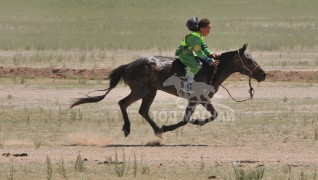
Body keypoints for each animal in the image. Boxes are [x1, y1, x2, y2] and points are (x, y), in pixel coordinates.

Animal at [69, 44, 266, 138]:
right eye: (249, 60)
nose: (263, 74)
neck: (211, 70)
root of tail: (129, 65)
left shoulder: (202, 99)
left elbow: (213, 115)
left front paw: (196, 122)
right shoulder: (196, 99)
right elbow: (186, 119)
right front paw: (171, 126)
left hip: (150, 92)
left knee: (142, 110)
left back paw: (157, 129)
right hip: (140, 91)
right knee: (123, 103)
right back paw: (129, 128)